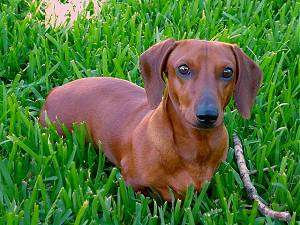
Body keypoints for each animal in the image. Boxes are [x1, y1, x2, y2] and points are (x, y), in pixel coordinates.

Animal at [39, 39, 262, 200]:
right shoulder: (132, 182)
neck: (195, 146)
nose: (207, 115)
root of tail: (54, 92)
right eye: (183, 69)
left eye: (227, 71)